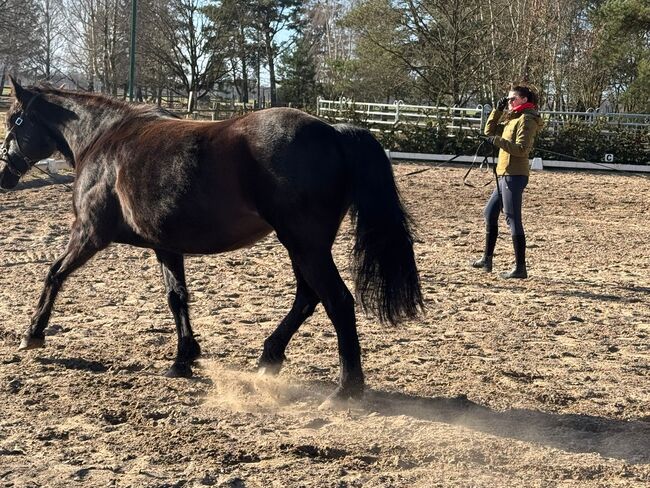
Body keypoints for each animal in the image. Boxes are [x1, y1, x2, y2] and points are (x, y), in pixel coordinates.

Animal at [0, 77, 422, 400]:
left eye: (13, 121)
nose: (4, 175)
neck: (105, 138)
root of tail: (334, 132)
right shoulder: (166, 246)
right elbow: (177, 298)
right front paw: (183, 359)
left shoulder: (89, 233)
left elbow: (54, 274)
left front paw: (32, 334)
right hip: (304, 246)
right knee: (308, 296)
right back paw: (269, 358)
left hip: (304, 244)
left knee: (336, 301)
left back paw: (346, 388)